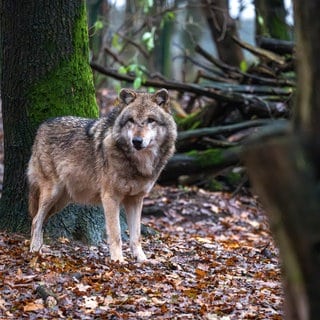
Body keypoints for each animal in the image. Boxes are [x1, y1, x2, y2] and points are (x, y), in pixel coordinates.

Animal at [27, 88, 178, 262]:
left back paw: (39, 249)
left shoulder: (135, 200)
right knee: (36, 220)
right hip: (52, 193)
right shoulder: (110, 197)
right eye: (131, 120)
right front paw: (118, 261)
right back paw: (34, 251)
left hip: (61, 201)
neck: (138, 163)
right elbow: (116, 234)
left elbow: (136, 236)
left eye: (151, 120)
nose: (137, 141)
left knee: (40, 220)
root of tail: (42, 125)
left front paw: (142, 259)